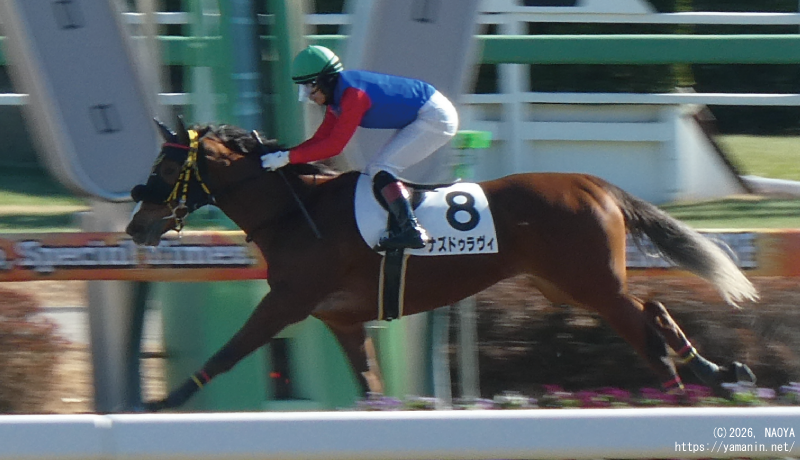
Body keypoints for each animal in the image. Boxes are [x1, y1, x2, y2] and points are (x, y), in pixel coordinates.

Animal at [126, 118, 759, 411]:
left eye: (166, 167)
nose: (136, 225)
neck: (295, 210)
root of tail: (594, 183)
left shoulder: (288, 300)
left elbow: (229, 351)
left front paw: (163, 402)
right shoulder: (341, 317)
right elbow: (369, 384)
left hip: (590, 283)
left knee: (644, 327)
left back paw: (684, 385)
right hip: (567, 285)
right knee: (652, 308)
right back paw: (716, 372)